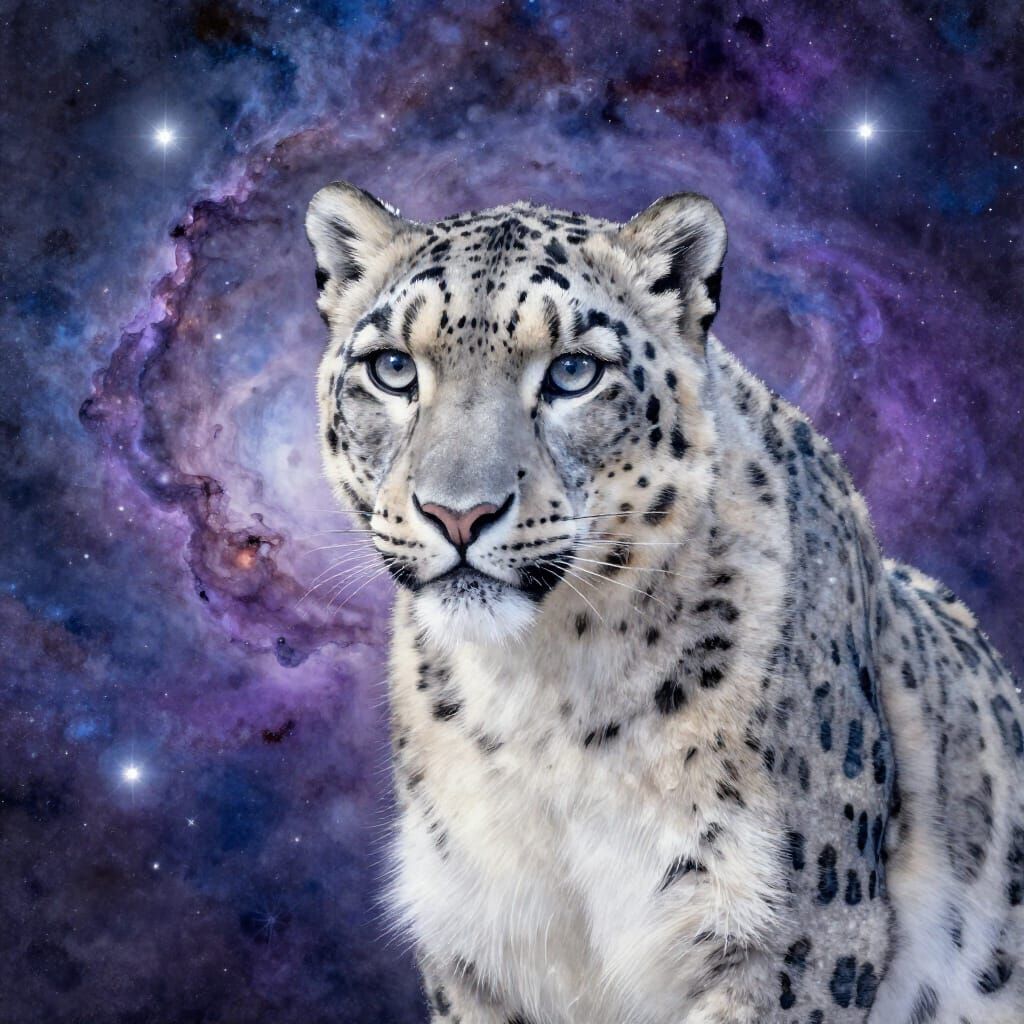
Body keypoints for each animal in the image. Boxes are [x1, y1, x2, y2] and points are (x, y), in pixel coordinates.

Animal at [304, 180, 1024, 1024]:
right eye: (392, 368)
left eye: (573, 372)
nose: (458, 513)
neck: (539, 696)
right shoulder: (476, 941)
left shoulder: (793, 936)